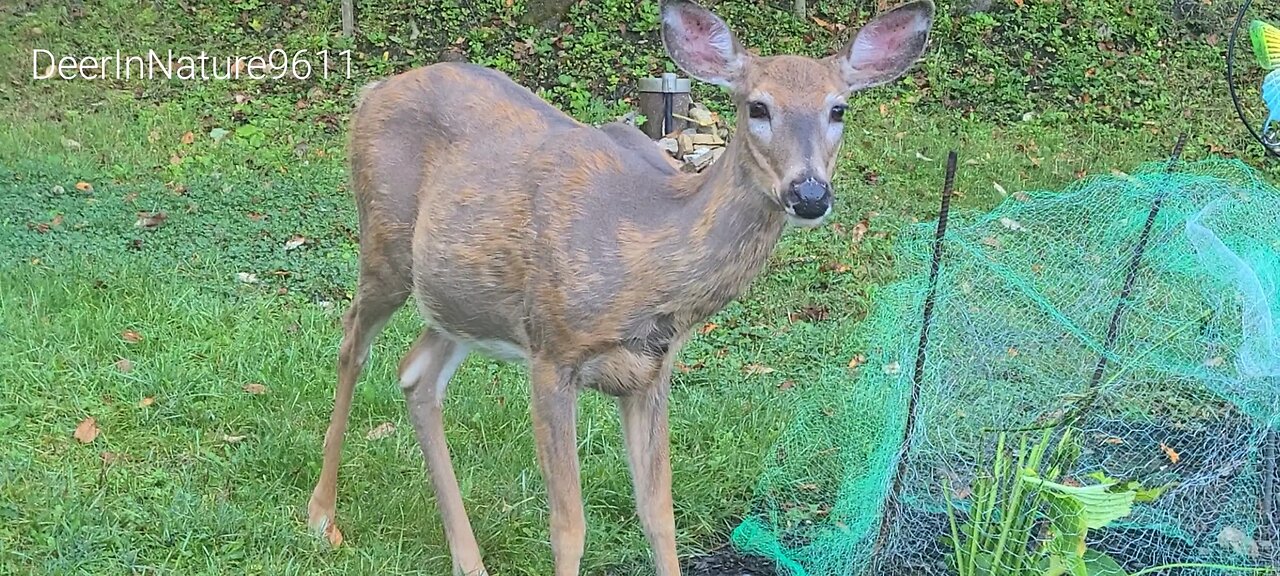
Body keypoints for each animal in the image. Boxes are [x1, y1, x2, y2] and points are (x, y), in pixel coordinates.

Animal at [304, 0, 936, 573]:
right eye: (758, 106)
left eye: (839, 108)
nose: (809, 194)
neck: (649, 267)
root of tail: (374, 89)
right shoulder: (552, 352)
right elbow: (569, 526)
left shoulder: (651, 373)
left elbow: (658, 515)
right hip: (386, 245)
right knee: (352, 343)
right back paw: (322, 518)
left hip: (464, 298)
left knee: (416, 374)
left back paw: (467, 560)